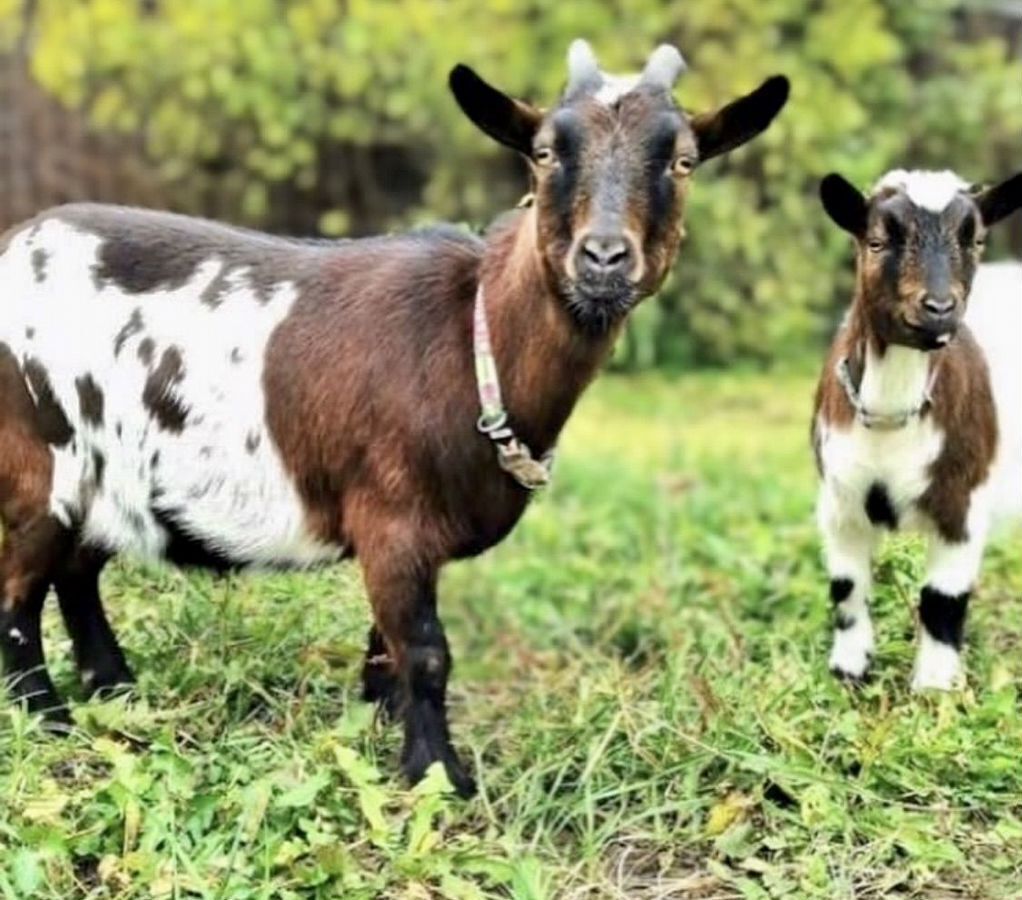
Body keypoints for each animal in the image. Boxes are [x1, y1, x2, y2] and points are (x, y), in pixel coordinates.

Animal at [0, 43, 788, 792]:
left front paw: (379, 732)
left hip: (106, 476)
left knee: (77, 572)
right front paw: (439, 776)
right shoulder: (391, 521)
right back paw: (48, 716)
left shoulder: (409, 543)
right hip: (39, 463)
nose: (603, 258)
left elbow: (388, 649)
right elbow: (428, 652)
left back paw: (116, 690)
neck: (474, 338)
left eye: (683, 161)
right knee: (18, 595)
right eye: (543, 153)